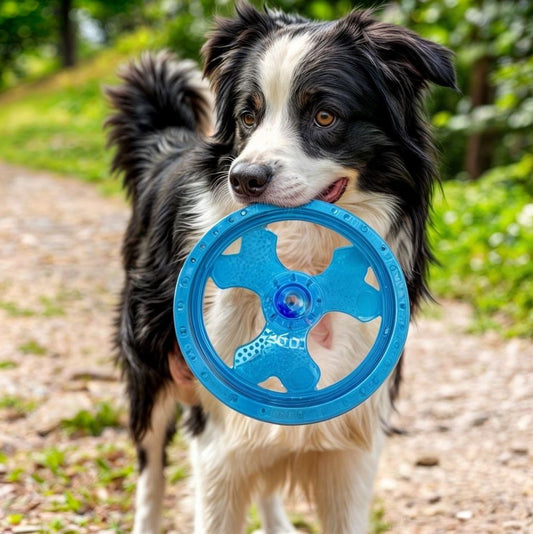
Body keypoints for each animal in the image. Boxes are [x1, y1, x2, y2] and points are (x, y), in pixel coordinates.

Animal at [106, 3, 456, 532]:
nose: (244, 179)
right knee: (150, 468)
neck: (302, 263)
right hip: (148, 361)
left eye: (325, 115)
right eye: (248, 116)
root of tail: (169, 145)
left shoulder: (352, 450)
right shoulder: (219, 443)